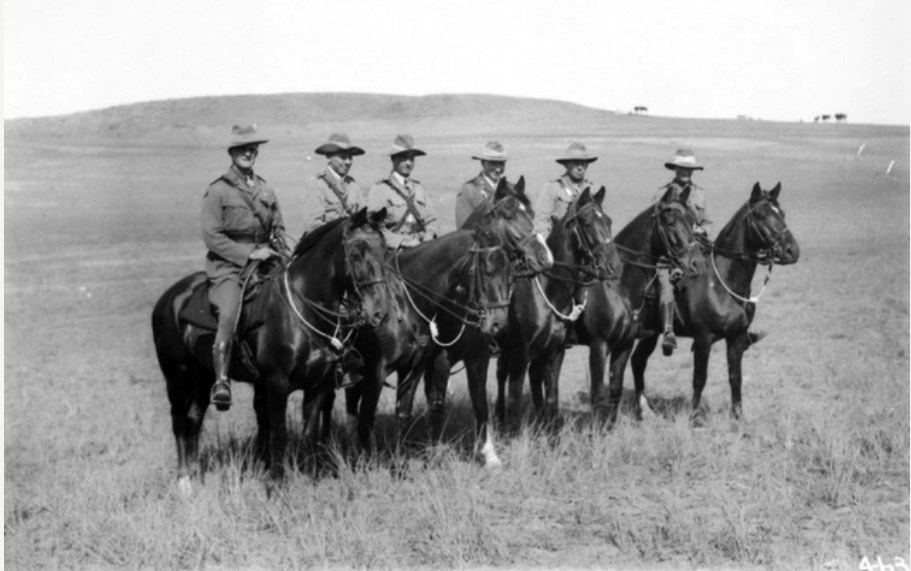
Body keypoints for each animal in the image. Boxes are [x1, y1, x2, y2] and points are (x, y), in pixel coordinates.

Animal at [151, 208, 394, 490]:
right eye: (355, 254)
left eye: (385, 251)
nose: (380, 311)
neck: (302, 309)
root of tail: (169, 298)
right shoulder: (276, 384)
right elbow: (279, 434)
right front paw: (277, 485)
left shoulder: (317, 386)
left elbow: (309, 434)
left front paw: (310, 480)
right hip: (177, 376)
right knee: (180, 421)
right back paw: (184, 481)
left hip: (203, 377)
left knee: (194, 419)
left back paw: (196, 474)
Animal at [496, 188, 624, 434]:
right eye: (586, 222)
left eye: (609, 221)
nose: (615, 266)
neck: (549, 291)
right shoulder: (521, 353)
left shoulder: (555, 351)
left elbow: (552, 399)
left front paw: (551, 435)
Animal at [628, 181, 800, 422]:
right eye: (761, 215)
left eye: (781, 213)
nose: (792, 251)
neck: (723, 282)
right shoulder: (703, 339)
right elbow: (700, 379)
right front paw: (694, 418)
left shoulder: (736, 338)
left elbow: (735, 377)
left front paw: (737, 418)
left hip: (651, 333)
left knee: (638, 361)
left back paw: (644, 410)